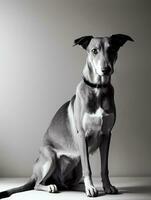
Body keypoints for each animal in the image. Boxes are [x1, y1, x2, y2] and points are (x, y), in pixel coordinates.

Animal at [0, 33, 133, 198]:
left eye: (112, 49)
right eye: (94, 51)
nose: (106, 69)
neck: (98, 90)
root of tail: (33, 173)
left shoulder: (107, 135)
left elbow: (104, 168)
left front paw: (107, 186)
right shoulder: (82, 135)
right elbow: (88, 169)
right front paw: (91, 188)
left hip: (77, 164)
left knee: (68, 184)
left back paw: (82, 187)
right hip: (50, 157)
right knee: (38, 184)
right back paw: (53, 186)